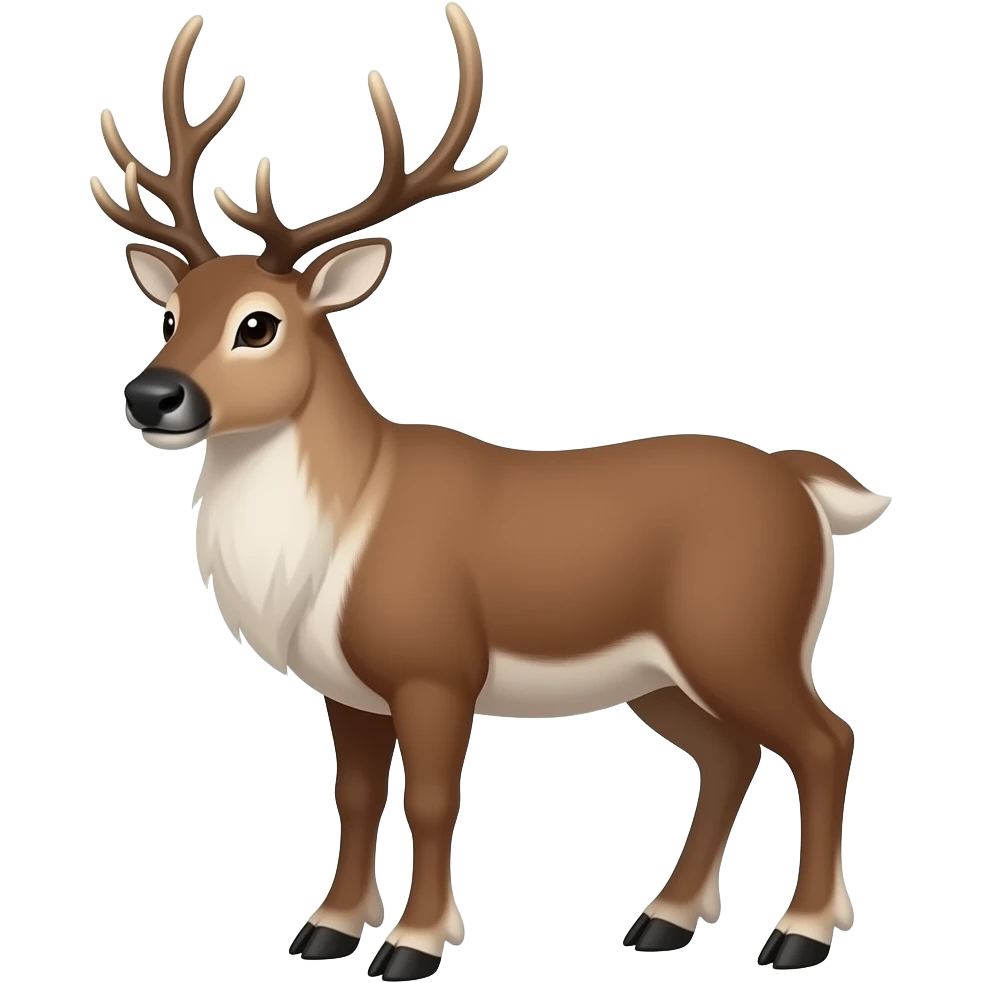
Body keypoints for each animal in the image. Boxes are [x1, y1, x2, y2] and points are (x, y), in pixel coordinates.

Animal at [96, 7, 891, 979]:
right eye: (172, 315)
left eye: (258, 324)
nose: (153, 395)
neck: (340, 528)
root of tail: (801, 482)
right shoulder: (346, 685)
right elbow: (354, 796)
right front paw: (328, 926)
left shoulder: (436, 662)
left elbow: (433, 799)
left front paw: (414, 942)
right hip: (662, 673)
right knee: (730, 753)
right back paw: (663, 919)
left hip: (744, 633)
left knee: (823, 739)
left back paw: (798, 933)